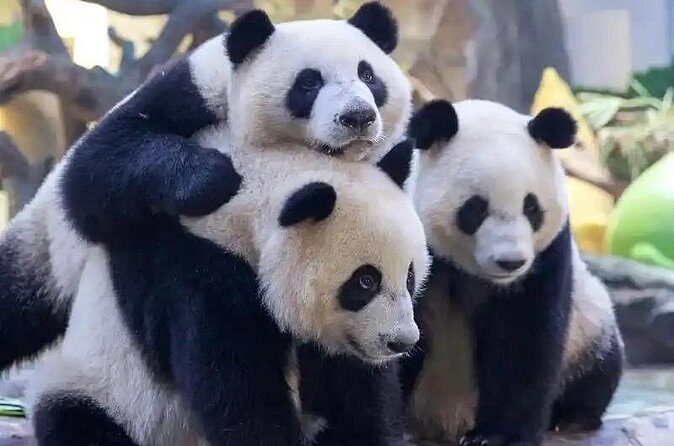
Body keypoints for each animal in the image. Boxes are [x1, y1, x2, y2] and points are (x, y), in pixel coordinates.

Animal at [0, 2, 411, 371]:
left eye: (369, 76)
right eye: (308, 82)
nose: (358, 117)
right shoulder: (190, 91)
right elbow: (96, 169)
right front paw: (213, 177)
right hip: (45, 252)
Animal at [28, 131, 429, 446]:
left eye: (410, 275)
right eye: (365, 281)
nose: (401, 341)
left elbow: (355, 394)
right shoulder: (197, 273)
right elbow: (239, 392)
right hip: (103, 390)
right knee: (80, 423)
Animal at [400, 100, 624, 446]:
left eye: (531, 207)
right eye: (475, 208)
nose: (511, 262)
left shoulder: (547, 256)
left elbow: (523, 338)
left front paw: (496, 435)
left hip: (590, 326)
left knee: (601, 365)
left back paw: (570, 416)